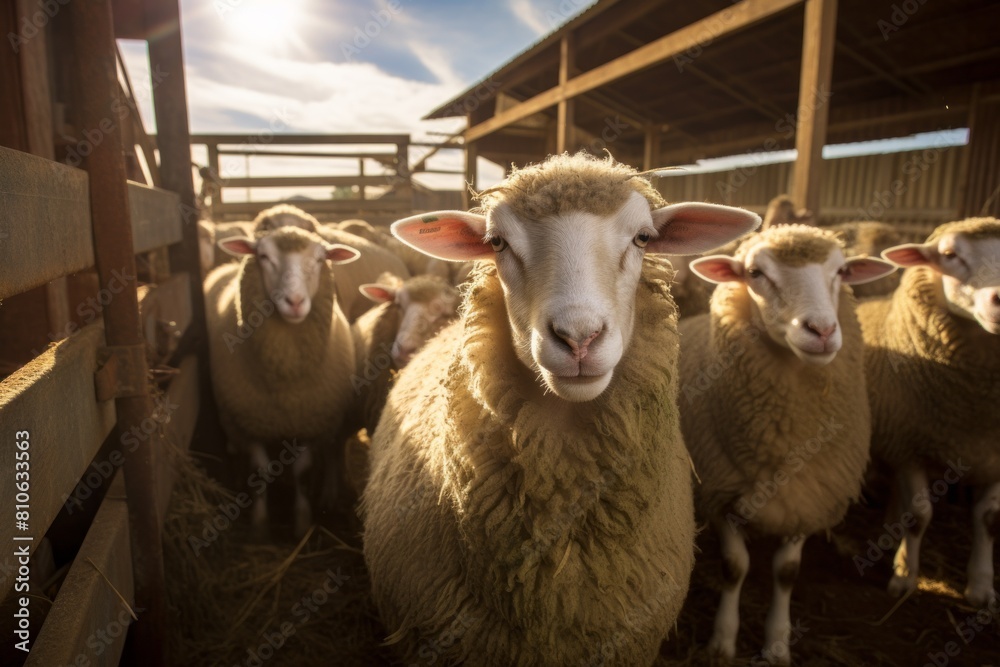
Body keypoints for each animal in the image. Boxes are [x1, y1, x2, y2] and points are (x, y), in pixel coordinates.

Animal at [204, 226, 360, 536]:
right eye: (263, 256)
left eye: (320, 259)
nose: (295, 302)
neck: (286, 389)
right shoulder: (249, 424)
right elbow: (261, 472)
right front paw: (260, 525)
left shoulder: (309, 424)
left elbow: (301, 473)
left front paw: (301, 522)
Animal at [678, 224, 896, 664]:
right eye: (754, 273)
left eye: (842, 271)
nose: (822, 331)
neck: (786, 437)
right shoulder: (721, 495)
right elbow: (734, 566)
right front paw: (722, 641)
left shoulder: (806, 495)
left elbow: (786, 573)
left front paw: (777, 643)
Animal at [857, 216, 1000, 609]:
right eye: (949, 254)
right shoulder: (909, 448)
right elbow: (919, 516)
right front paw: (905, 577)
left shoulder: (993, 456)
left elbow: (988, 519)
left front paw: (981, 587)